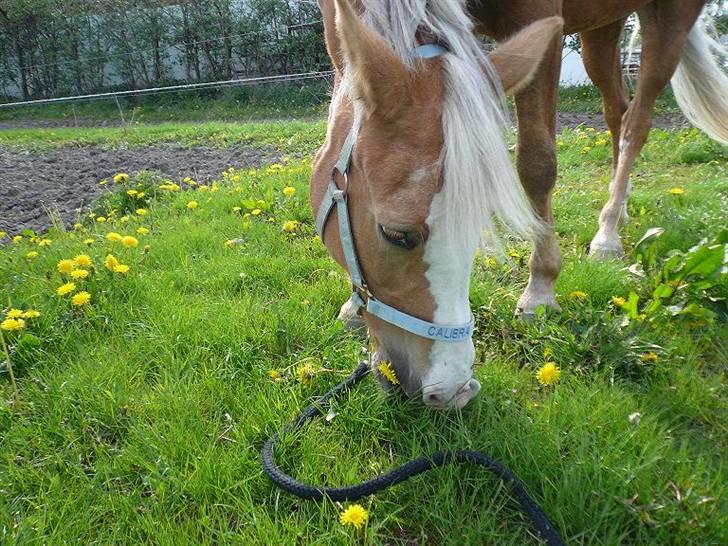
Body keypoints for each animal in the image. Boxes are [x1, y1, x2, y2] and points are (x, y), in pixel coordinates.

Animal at [312, 0, 728, 408]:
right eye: (396, 234)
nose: (454, 391)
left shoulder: (540, 18)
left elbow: (537, 163)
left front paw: (540, 289)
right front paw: (351, 309)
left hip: (667, 20)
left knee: (637, 122)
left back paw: (608, 232)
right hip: (602, 33)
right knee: (617, 111)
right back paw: (619, 210)